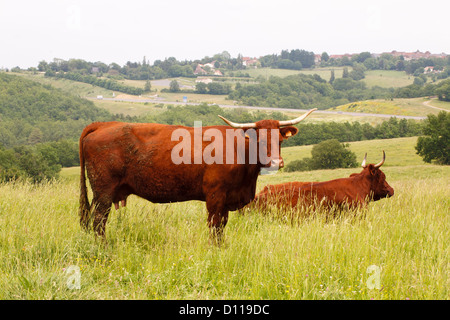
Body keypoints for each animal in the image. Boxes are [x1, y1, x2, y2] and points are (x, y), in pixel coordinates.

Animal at [78, 109, 316, 239]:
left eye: (280, 138)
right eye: (259, 138)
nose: (276, 162)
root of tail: (103, 124)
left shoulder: (226, 201)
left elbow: (221, 228)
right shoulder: (215, 197)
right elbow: (214, 227)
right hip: (104, 193)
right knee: (98, 222)